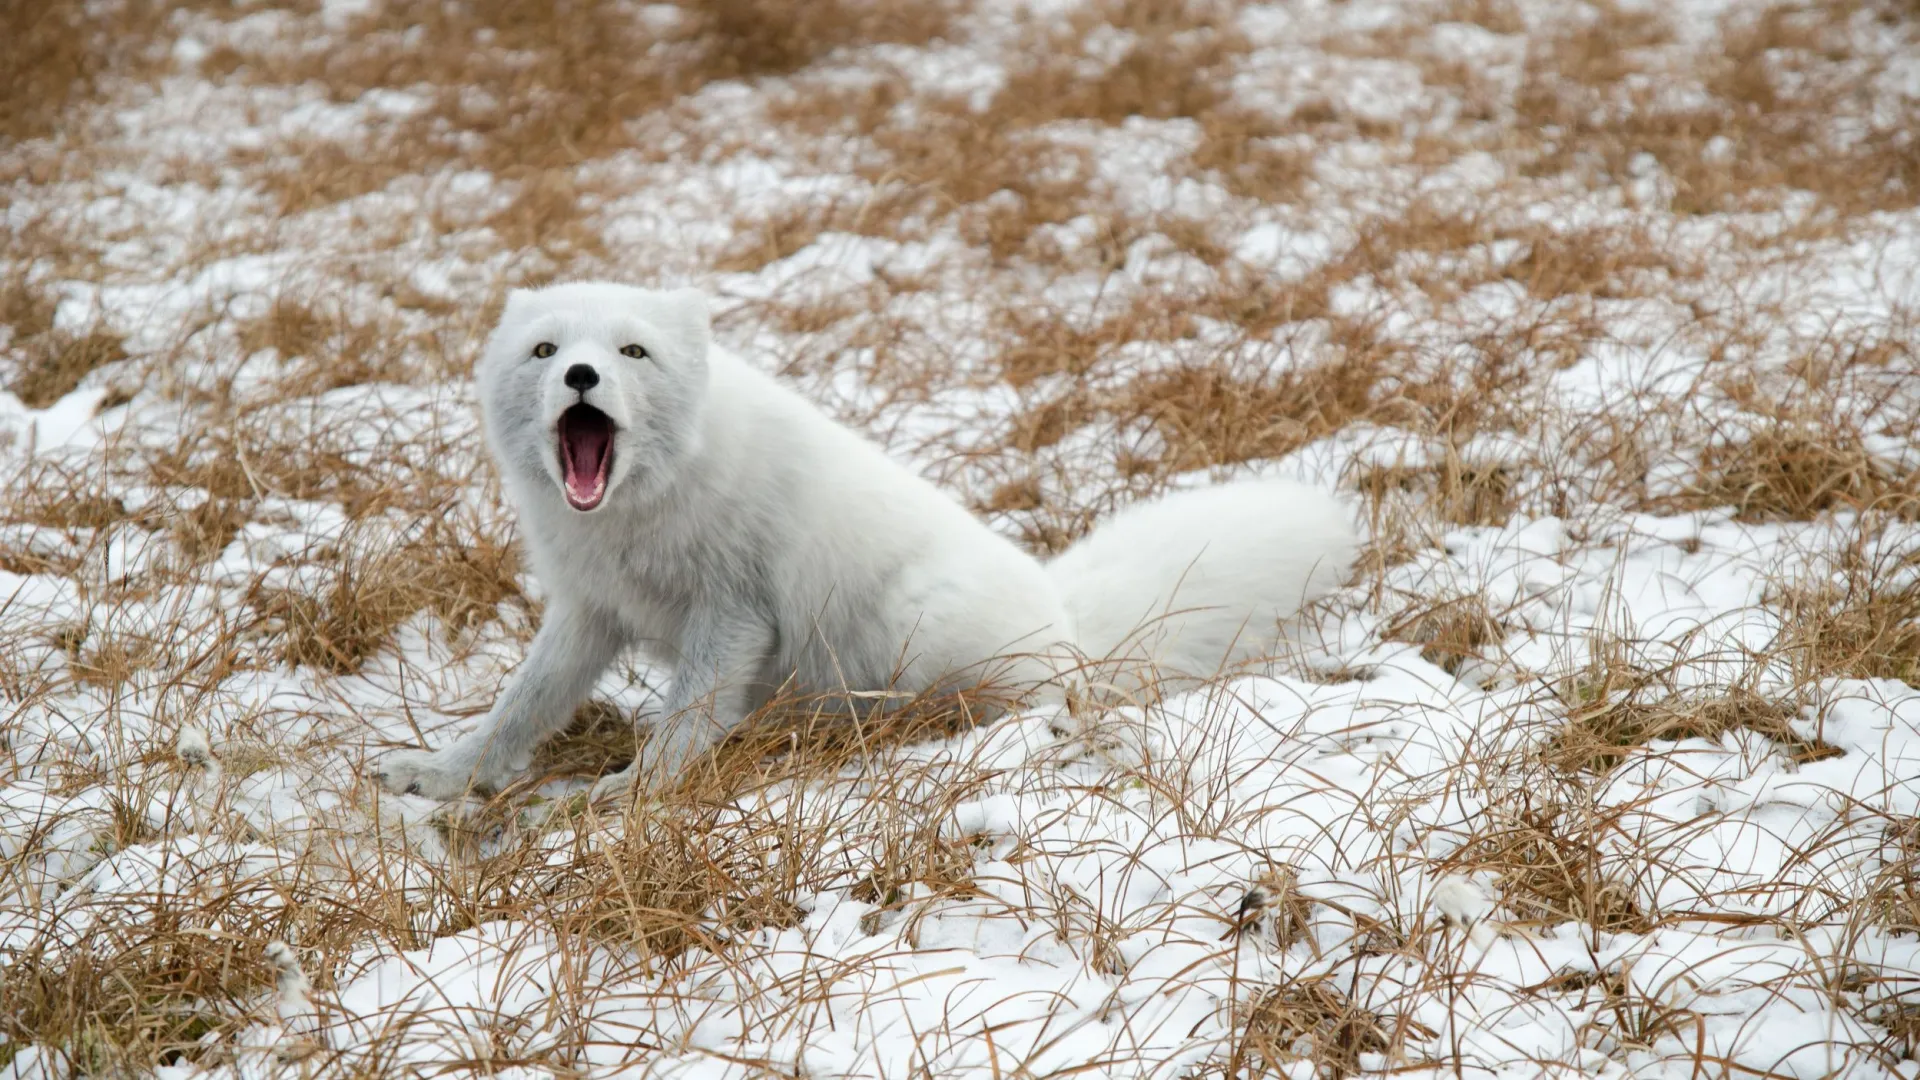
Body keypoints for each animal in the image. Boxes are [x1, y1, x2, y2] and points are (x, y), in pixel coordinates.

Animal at [374, 282, 1359, 803]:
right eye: (545, 352)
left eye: (632, 353)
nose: (581, 375)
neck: (636, 511)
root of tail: (1068, 623)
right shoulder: (589, 610)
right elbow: (521, 704)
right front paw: (444, 775)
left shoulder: (733, 614)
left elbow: (686, 717)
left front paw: (634, 792)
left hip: (916, 630)